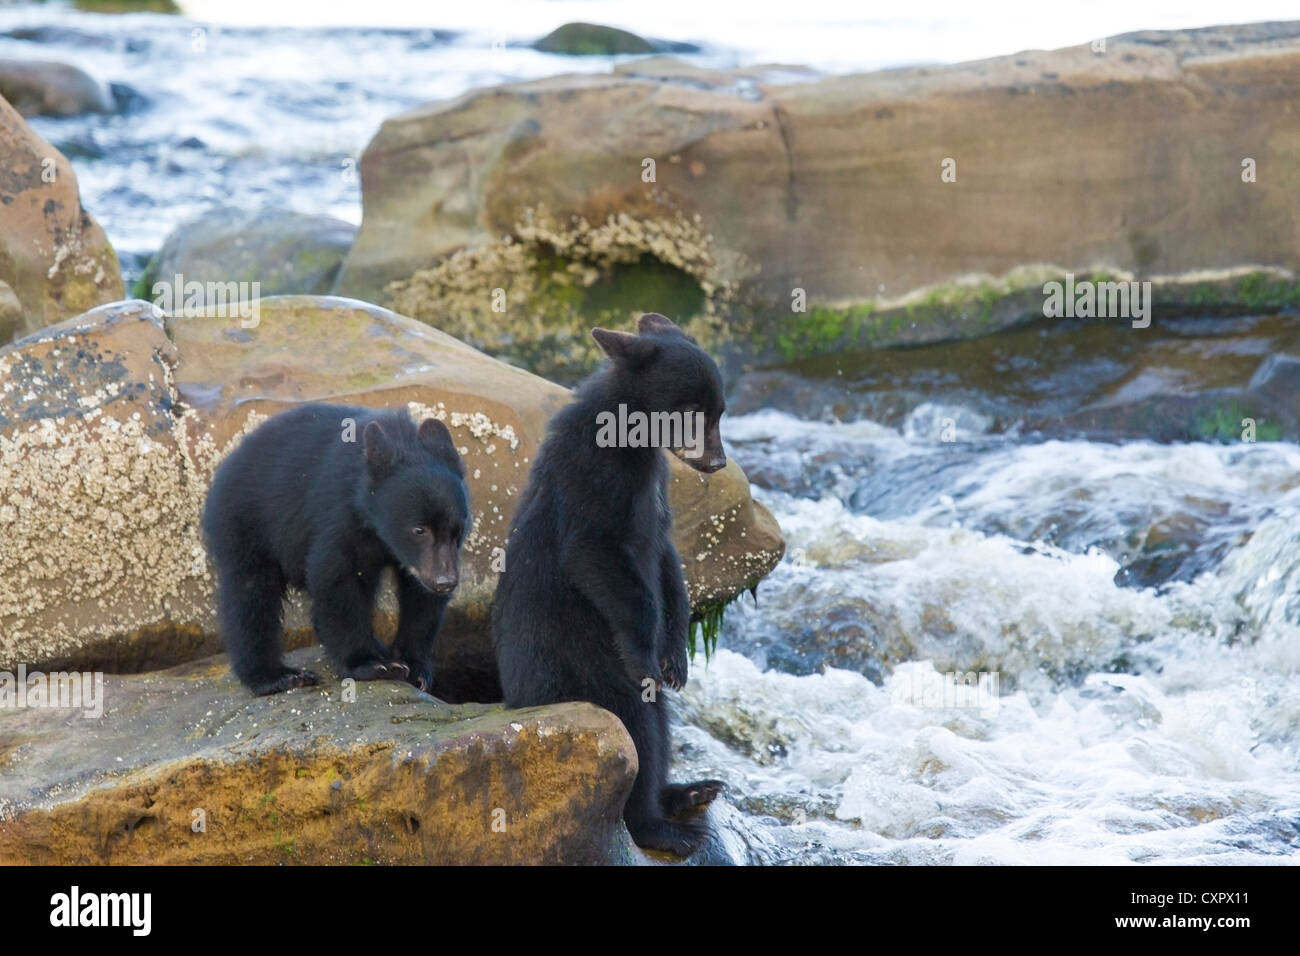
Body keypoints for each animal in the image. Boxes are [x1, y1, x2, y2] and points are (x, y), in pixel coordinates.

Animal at [201, 403, 470, 696]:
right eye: (419, 530)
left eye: (458, 529)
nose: (445, 582)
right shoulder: (339, 516)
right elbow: (336, 579)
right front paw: (371, 664)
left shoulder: (422, 561)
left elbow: (420, 599)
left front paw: (416, 667)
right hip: (246, 522)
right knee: (250, 594)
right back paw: (276, 676)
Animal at [492, 312, 727, 856]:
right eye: (692, 410)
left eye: (720, 411)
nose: (717, 463)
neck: (630, 438)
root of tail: (522, 703)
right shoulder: (593, 475)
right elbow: (596, 553)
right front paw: (647, 653)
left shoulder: (656, 488)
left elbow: (666, 559)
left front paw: (677, 656)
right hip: (585, 668)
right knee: (635, 726)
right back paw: (662, 826)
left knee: (658, 725)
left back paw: (690, 791)